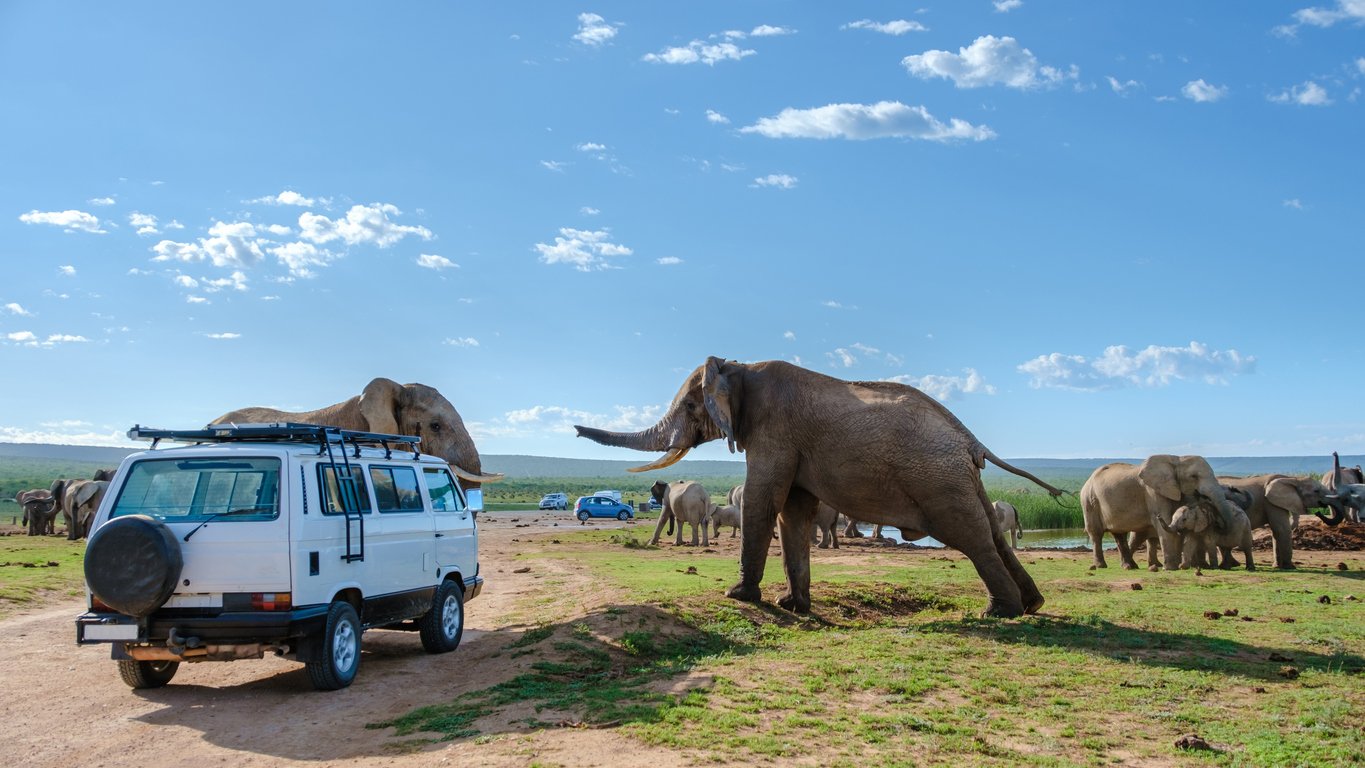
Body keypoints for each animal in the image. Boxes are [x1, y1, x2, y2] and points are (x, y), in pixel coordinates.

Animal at [576, 357, 1064, 616]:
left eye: (692, 406)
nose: (575, 429)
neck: (739, 366)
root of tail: (970, 440)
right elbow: (793, 512)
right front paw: (792, 605)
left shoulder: (774, 432)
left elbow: (764, 501)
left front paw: (739, 596)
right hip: (959, 479)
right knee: (988, 532)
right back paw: (1032, 605)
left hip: (938, 479)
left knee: (970, 537)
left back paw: (1000, 612)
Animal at [1086, 455, 1250, 570]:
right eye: (1194, 477)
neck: (1176, 459)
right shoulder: (1153, 491)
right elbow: (1166, 521)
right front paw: (1171, 568)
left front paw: (1177, 566)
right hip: (1089, 500)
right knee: (1096, 533)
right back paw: (1102, 566)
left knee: (1120, 534)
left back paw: (1129, 566)